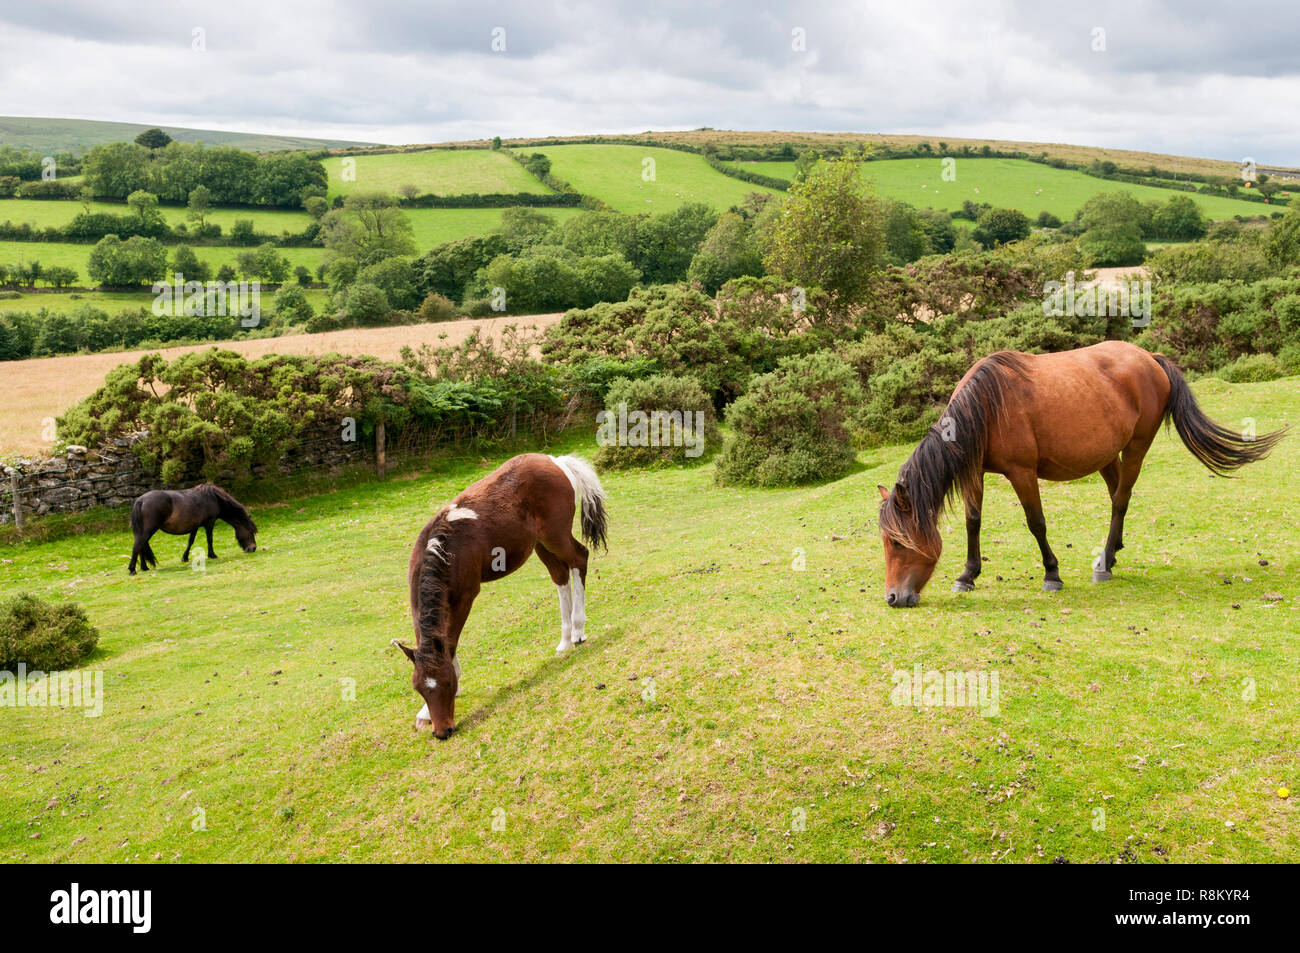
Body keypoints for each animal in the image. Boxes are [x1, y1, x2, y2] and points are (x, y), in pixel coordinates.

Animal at [128, 484, 258, 575]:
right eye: (250, 531)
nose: (253, 548)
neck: (213, 498)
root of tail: (141, 500)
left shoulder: (195, 526)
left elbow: (190, 541)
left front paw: (185, 558)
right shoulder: (210, 522)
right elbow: (210, 539)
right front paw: (212, 555)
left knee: (141, 546)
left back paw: (144, 567)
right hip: (148, 531)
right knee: (138, 545)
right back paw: (132, 570)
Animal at [390, 453, 608, 739]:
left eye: (447, 683)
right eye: (419, 688)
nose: (442, 732)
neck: (443, 547)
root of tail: (556, 461)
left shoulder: (465, 596)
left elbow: (451, 641)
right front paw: (424, 714)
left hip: (555, 535)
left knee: (579, 559)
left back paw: (578, 631)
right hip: (540, 543)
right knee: (560, 575)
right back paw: (565, 640)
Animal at [878, 341, 1285, 607]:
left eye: (897, 542)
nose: (893, 597)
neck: (987, 407)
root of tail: (1149, 358)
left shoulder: (1022, 473)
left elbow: (1036, 523)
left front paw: (1052, 575)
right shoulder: (974, 471)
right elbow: (973, 522)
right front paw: (967, 576)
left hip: (1136, 447)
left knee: (1121, 499)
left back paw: (1104, 565)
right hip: (1107, 455)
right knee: (1117, 493)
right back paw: (1112, 552)